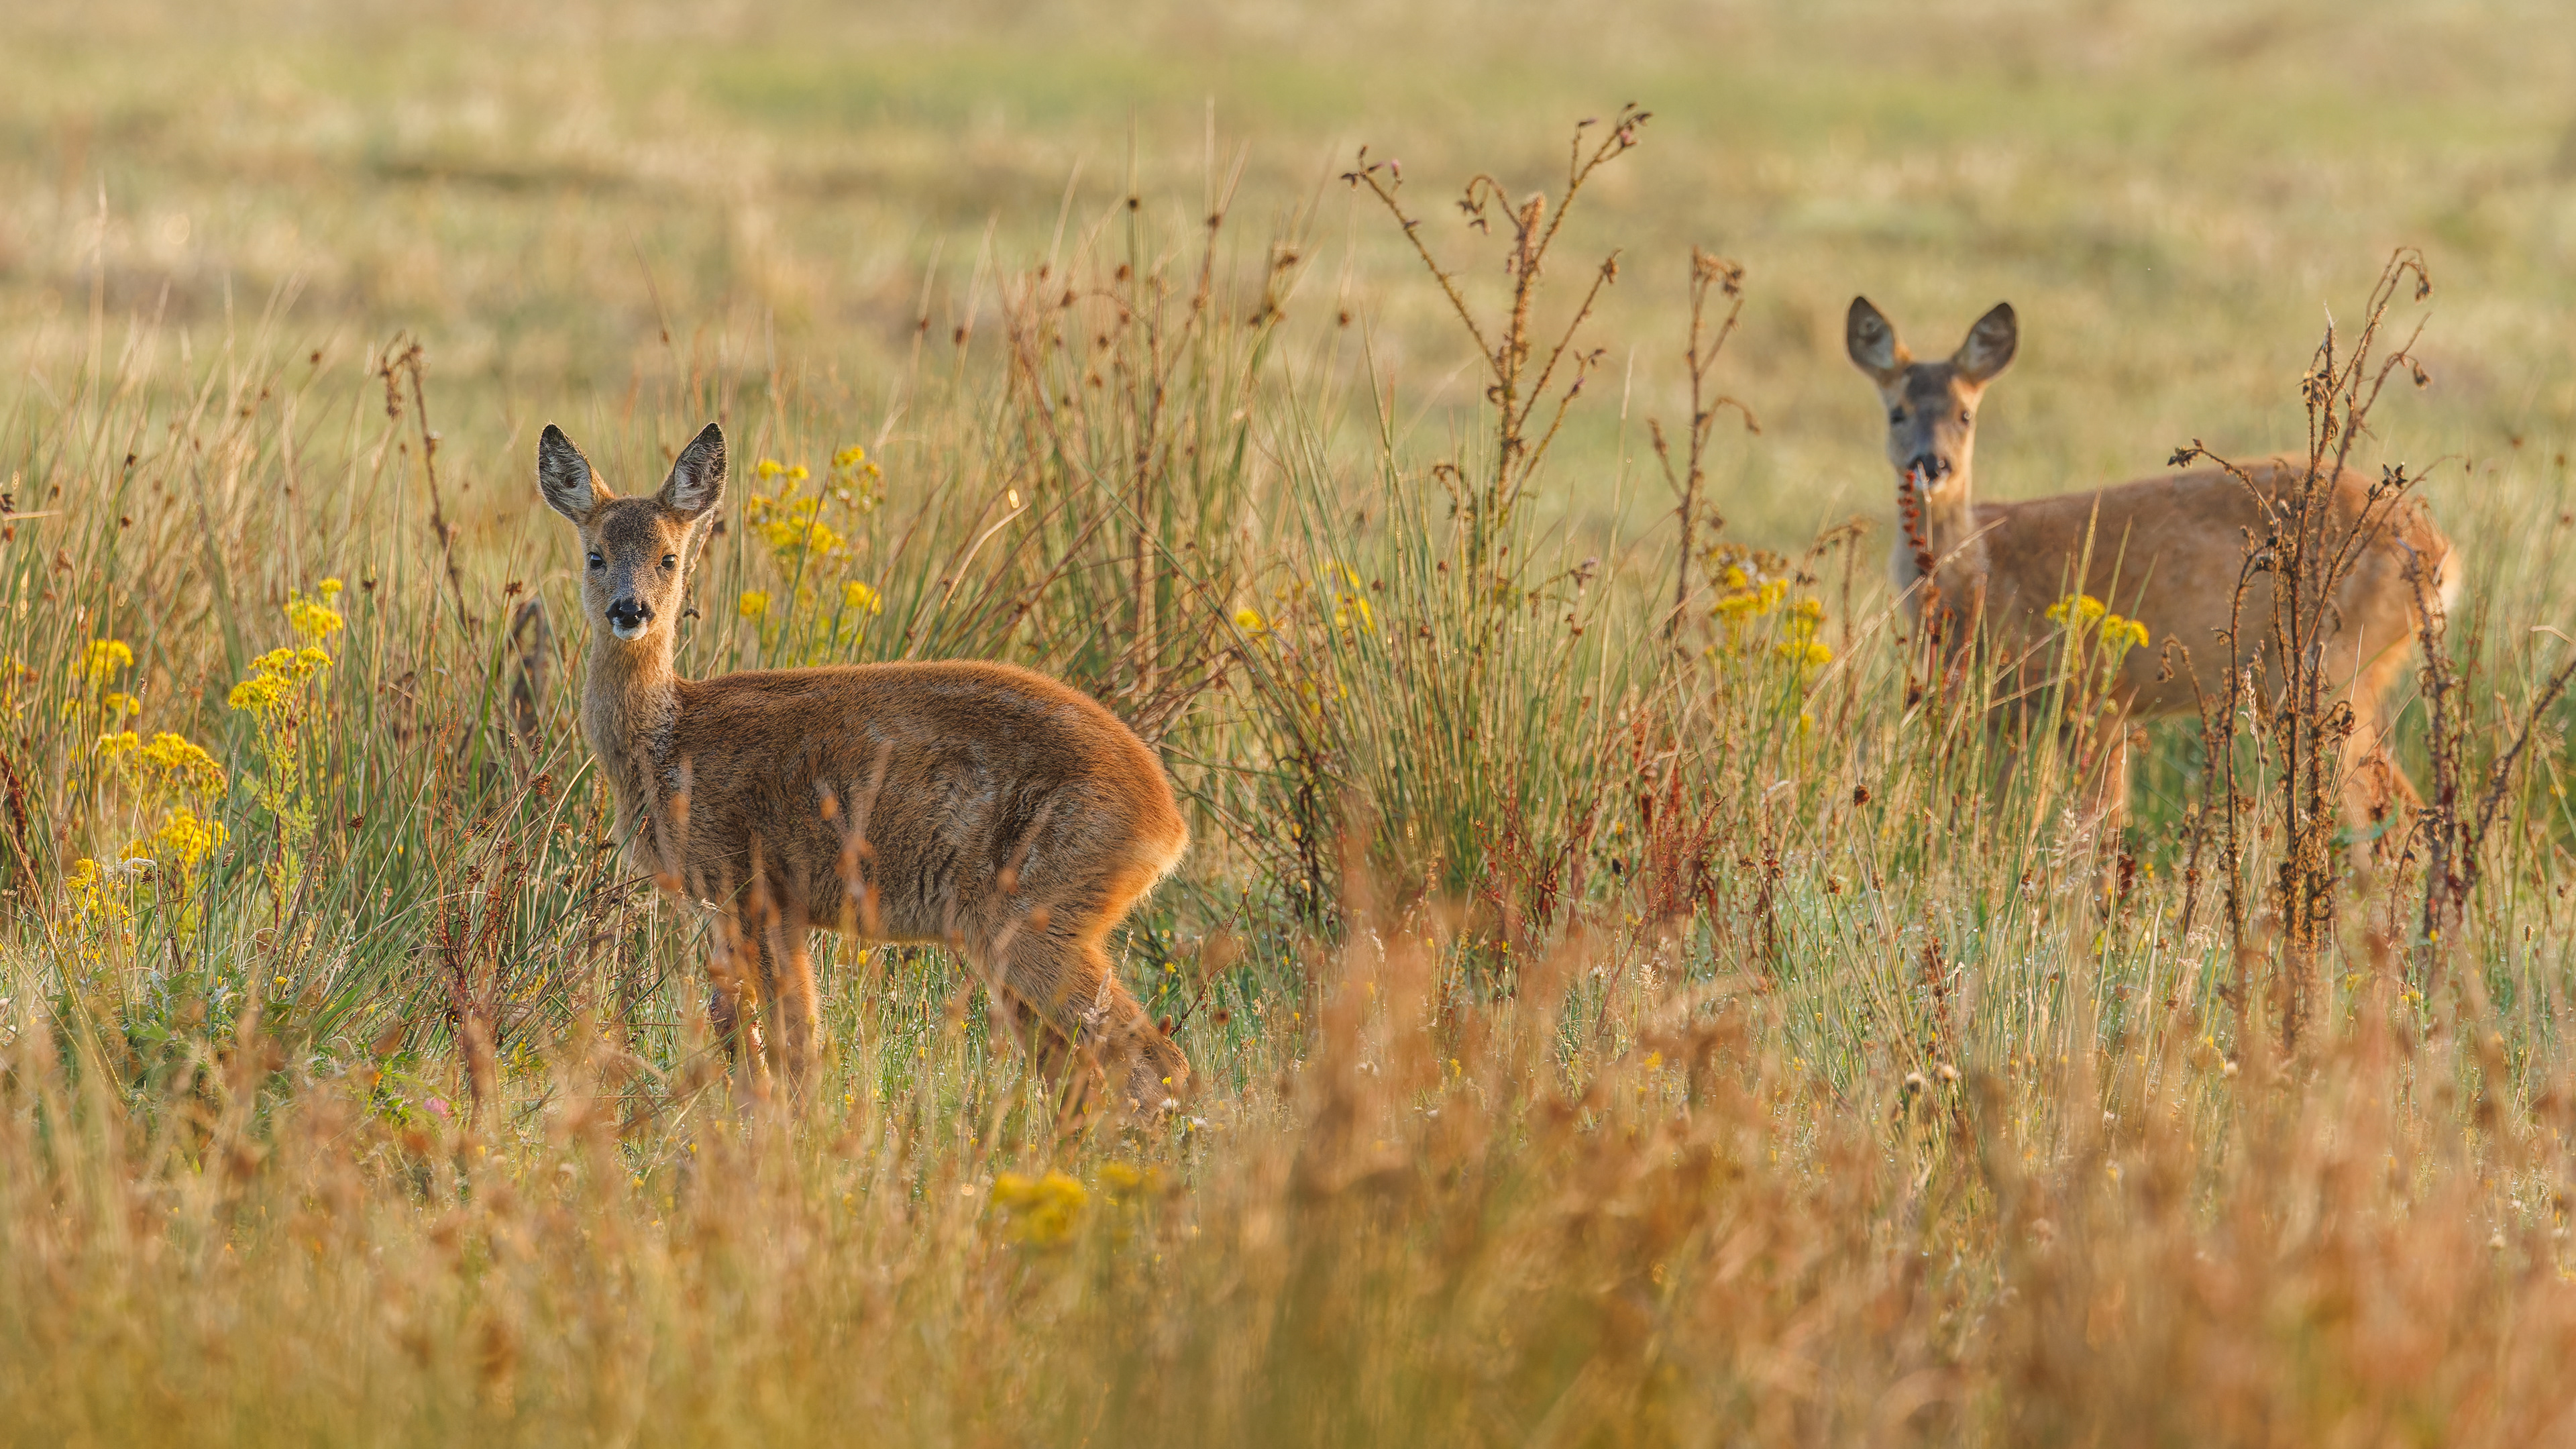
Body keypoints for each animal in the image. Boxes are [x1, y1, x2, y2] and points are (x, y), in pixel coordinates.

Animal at [537, 421, 1192, 1114]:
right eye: (596, 556)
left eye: (669, 557)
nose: (630, 611)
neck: (670, 739)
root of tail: (1170, 826)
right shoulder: (730, 904)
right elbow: (746, 1036)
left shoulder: (757, 883)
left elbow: (796, 1042)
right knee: (1079, 1074)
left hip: (1036, 910)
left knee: (1155, 1062)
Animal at [1843, 296, 2456, 843]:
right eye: (1897, 412)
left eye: (1965, 414)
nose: (1932, 464)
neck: (1979, 572)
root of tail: (2441, 554)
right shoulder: (2007, 716)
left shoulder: (2096, 695)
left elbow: (2094, 839)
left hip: (2332, 668)